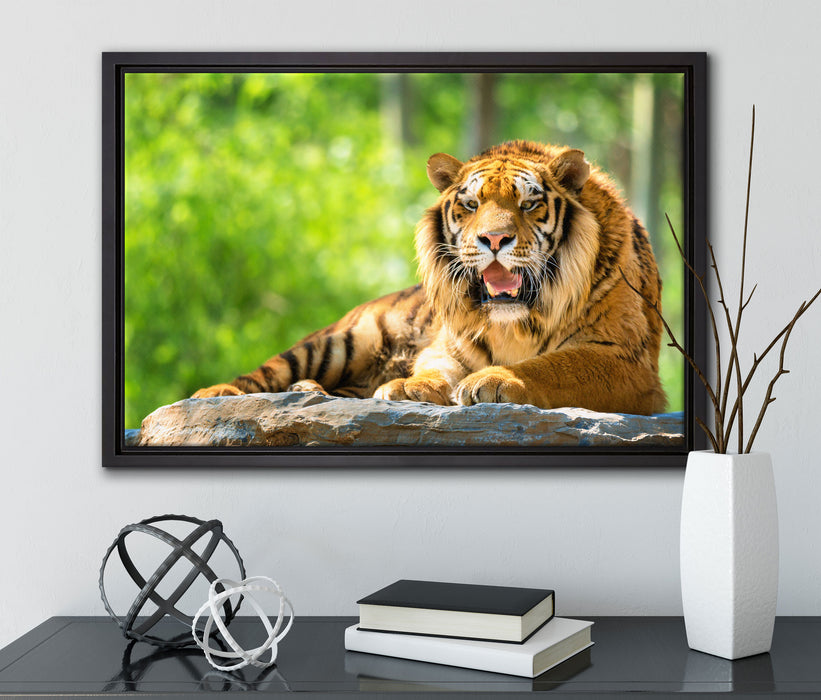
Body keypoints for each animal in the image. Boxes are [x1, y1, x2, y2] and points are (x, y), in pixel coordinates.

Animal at [192, 140, 666, 415]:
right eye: (472, 204)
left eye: (529, 204)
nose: (495, 238)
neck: (516, 320)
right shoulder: (449, 344)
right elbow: (435, 368)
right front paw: (408, 386)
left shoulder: (623, 359)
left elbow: (552, 365)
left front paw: (494, 380)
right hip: (340, 342)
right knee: (266, 372)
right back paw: (216, 395)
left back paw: (311, 390)